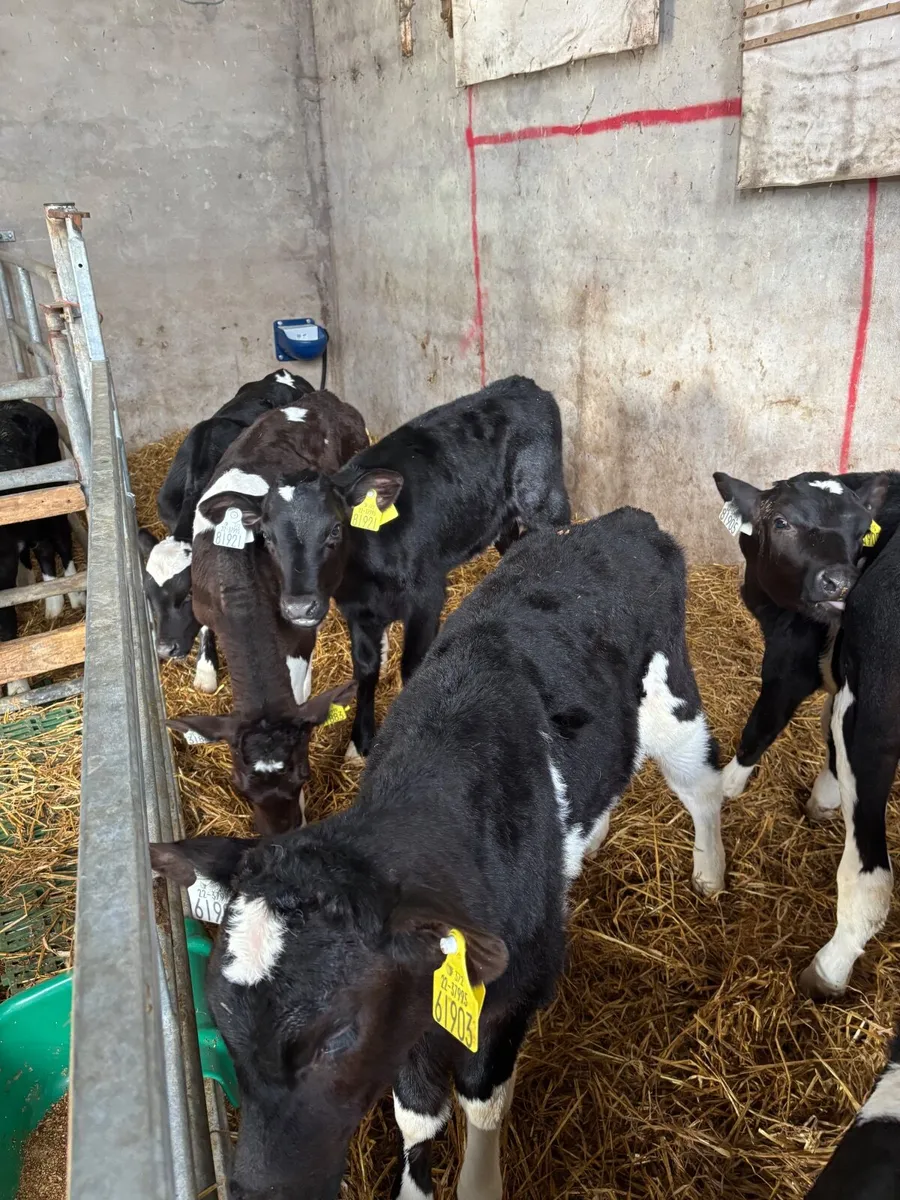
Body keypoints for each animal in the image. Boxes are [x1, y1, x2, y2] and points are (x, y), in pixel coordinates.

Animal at [150, 507, 726, 1200]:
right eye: (223, 1024)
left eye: (337, 1036)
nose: (259, 1191)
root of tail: (623, 521)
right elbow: (417, 1113)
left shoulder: (518, 986)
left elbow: (481, 1099)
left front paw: (479, 1183)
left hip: (673, 704)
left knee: (702, 787)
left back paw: (711, 875)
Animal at [168, 393, 368, 834]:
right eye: (239, 786)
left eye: (304, 777)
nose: (279, 836)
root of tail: (323, 397)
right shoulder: (203, 602)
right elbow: (206, 631)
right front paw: (205, 673)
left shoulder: (298, 638)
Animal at [216, 375, 571, 759]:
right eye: (266, 536)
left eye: (336, 529)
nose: (299, 607)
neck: (365, 573)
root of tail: (522, 383)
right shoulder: (358, 611)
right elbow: (366, 669)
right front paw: (360, 739)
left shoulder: (427, 600)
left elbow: (412, 666)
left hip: (546, 502)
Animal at [713, 469, 900, 998]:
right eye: (782, 521)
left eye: (860, 531)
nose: (840, 583)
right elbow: (830, 737)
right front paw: (825, 796)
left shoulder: (792, 659)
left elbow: (762, 724)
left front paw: (727, 785)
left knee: (870, 878)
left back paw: (829, 969)